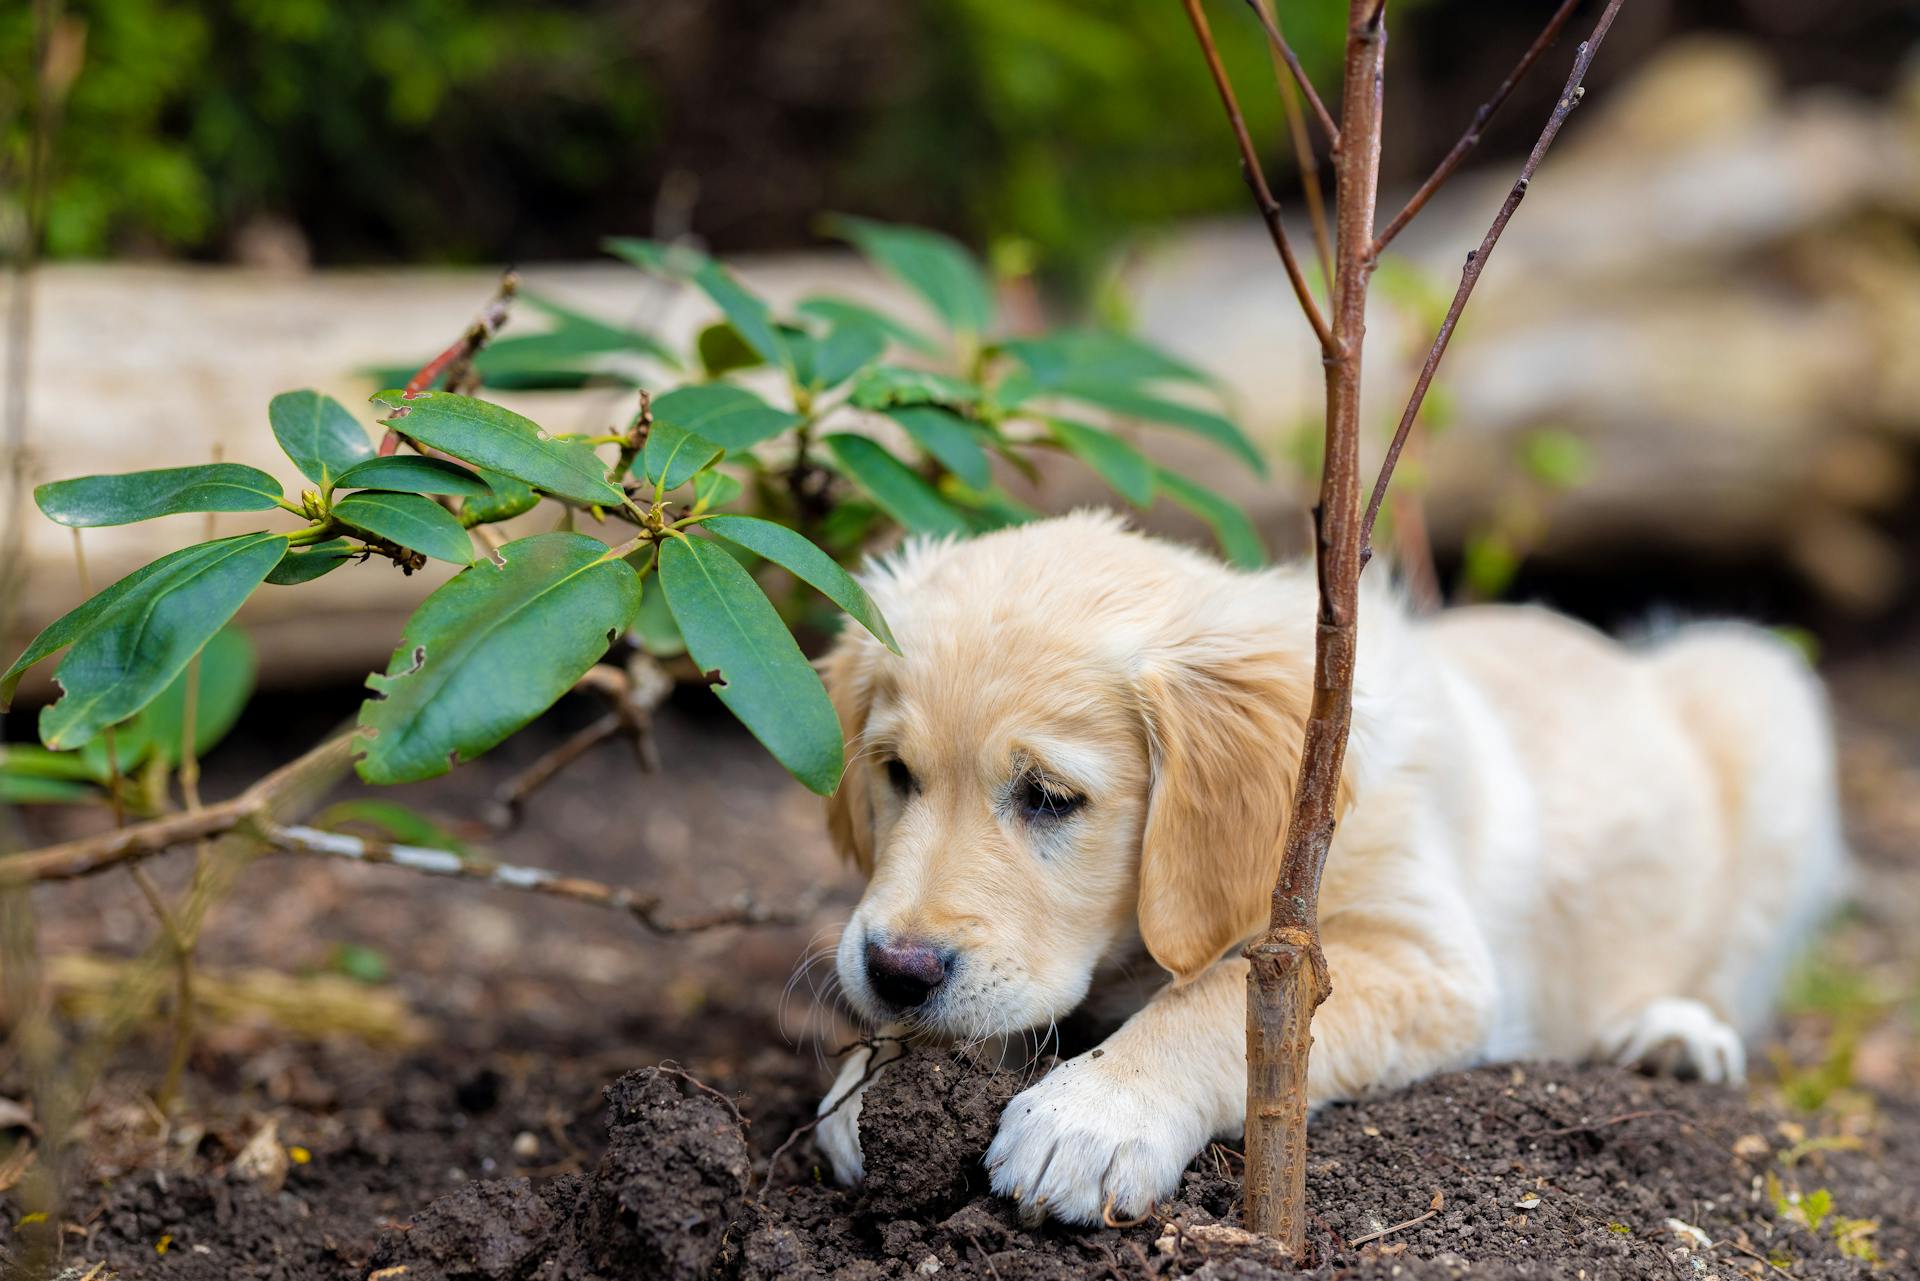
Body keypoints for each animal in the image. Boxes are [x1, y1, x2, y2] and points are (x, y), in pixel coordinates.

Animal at [814, 510, 1843, 1229]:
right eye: (894, 773)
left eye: (1048, 796)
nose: (895, 972)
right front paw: (871, 1078)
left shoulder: (1420, 959)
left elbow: (1212, 1001)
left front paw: (1094, 1112)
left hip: (1765, 697)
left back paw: (1670, 1033)